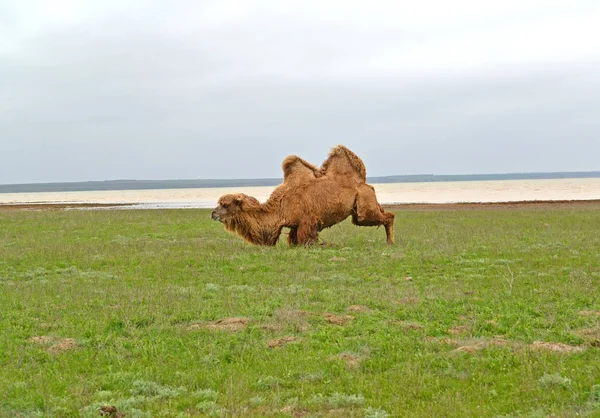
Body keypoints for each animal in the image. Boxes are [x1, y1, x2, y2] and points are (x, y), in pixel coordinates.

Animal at [211, 145, 394, 247]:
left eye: (225, 204)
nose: (213, 213)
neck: (280, 207)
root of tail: (364, 183)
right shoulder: (294, 225)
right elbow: (294, 240)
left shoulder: (307, 221)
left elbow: (306, 240)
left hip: (364, 203)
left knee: (388, 217)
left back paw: (390, 242)